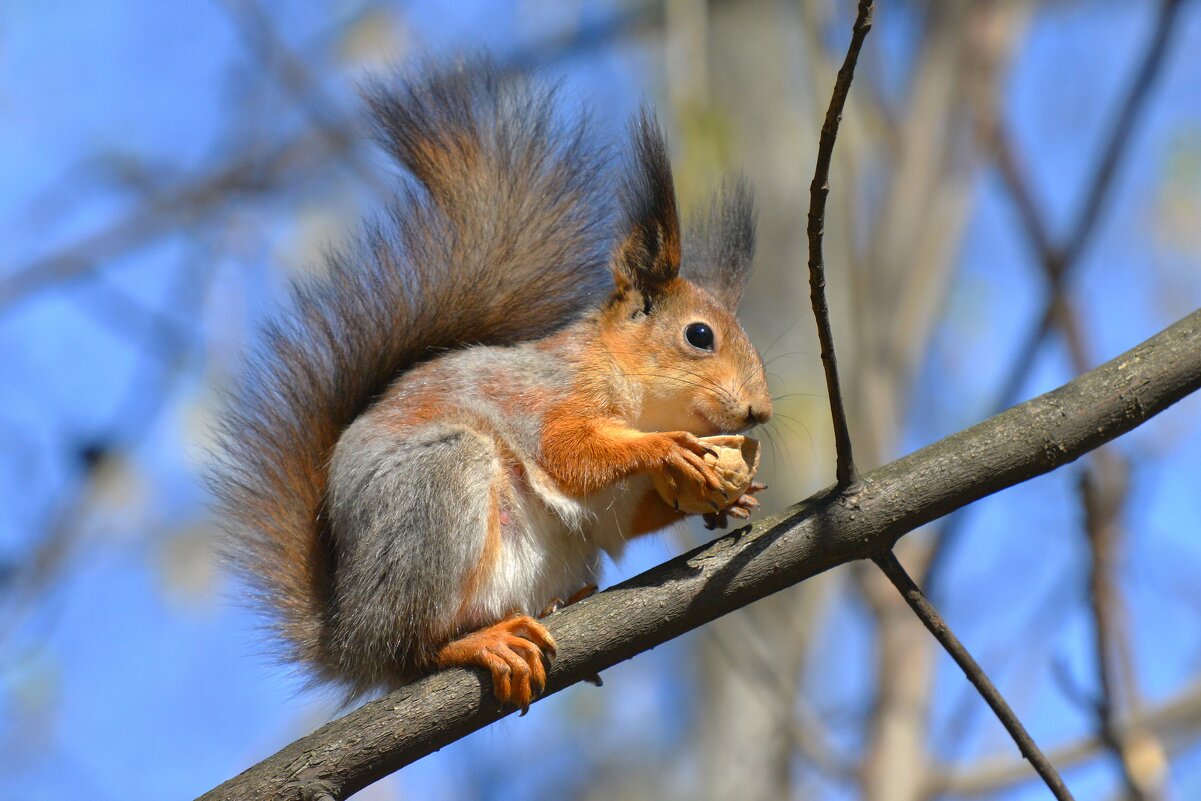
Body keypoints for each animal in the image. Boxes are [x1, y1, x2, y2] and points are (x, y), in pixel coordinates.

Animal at [212, 62, 773, 712]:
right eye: (699, 335)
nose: (760, 411)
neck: (630, 387)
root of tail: (350, 639)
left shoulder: (618, 503)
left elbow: (622, 516)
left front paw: (735, 496)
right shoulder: (549, 396)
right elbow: (567, 451)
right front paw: (665, 450)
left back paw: (561, 603)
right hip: (436, 495)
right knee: (411, 650)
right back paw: (477, 643)